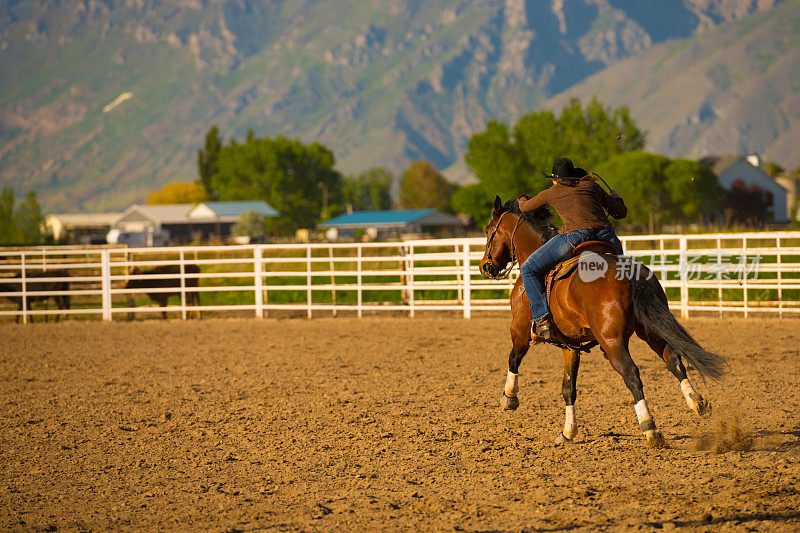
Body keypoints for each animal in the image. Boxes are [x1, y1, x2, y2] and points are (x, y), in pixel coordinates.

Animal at [478, 197, 728, 446]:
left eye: (489, 231)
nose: (484, 266)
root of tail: (631, 273)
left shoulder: (520, 330)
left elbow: (513, 359)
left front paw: (509, 398)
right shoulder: (571, 345)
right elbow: (568, 387)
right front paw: (568, 432)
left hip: (612, 341)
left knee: (631, 374)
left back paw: (650, 428)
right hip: (651, 330)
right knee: (674, 360)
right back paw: (697, 402)